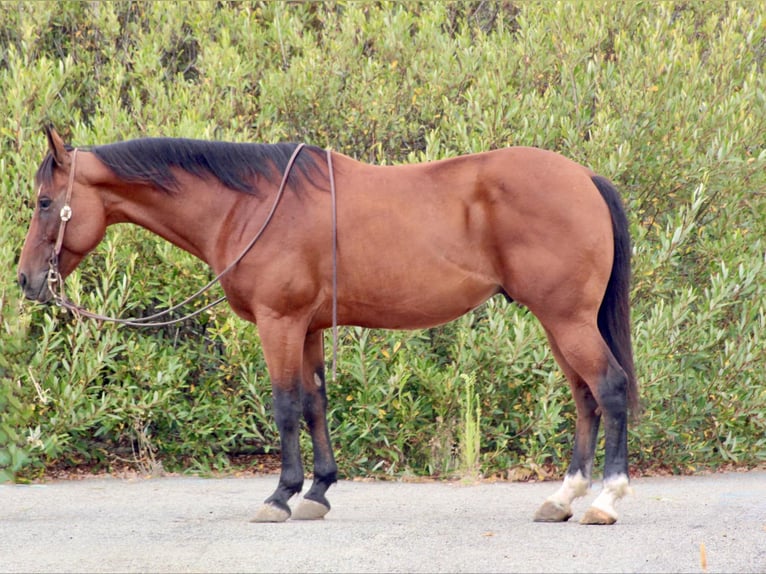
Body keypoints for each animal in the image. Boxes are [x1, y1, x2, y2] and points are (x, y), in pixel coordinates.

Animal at [19, 126, 640, 528]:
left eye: (45, 201)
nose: (27, 280)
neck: (250, 205)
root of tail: (585, 177)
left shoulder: (279, 323)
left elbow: (285, 406)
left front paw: (279, 496)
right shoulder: (309, 328)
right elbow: (316, 403)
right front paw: (318, 490)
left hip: (566, 319)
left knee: (608, 389)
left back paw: (605, 501)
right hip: (559, 323)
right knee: (584, 398)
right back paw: (563, 499)